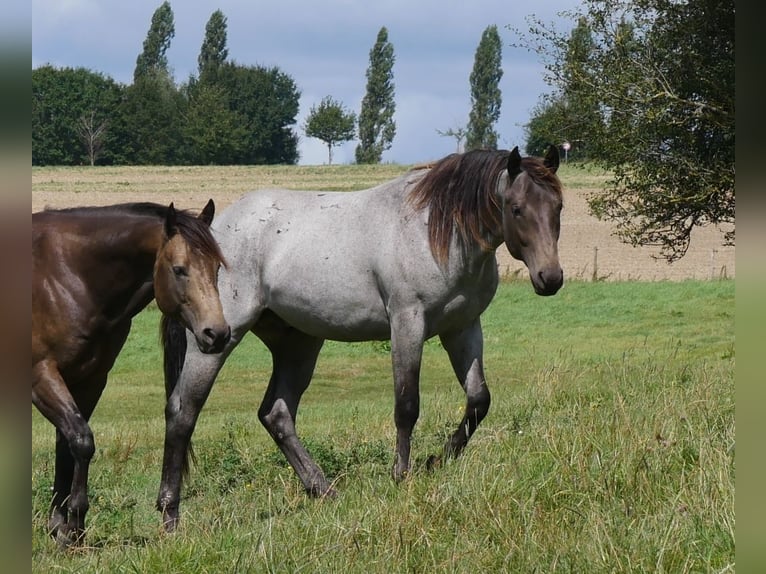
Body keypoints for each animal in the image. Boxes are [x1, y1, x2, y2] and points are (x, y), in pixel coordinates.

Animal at [33, 202, 230, 548]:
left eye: (216, 267)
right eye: (179, 269)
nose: (216, 334)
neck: (65, 277)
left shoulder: (91, 379)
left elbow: (67, 444)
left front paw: (63, 528)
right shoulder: (40, 374)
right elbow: (82, 441)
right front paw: (75, 524)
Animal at [158, 146, 564, 532]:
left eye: (558, 206)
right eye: (516, 208)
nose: (551, 278)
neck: (435, 232)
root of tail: (209, 234)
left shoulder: (463, 327)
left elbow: (479, 400)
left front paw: (436, 461)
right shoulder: (407, 323)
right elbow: (407, 406)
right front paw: (402, 476)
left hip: (298, 344)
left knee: (276, 414)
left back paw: (323, 490)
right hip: (215, 340)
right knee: (182, 412)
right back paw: (169, 515)